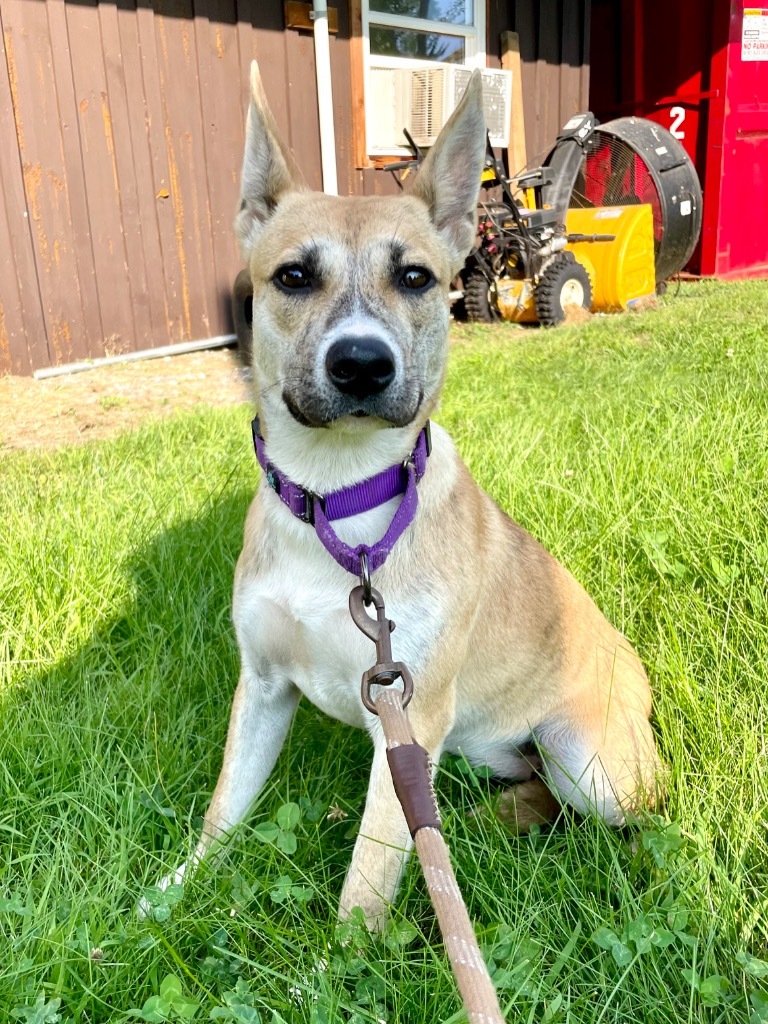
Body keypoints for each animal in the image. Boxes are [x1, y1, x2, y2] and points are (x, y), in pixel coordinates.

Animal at [151, 61, 663, 929]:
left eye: (416, 277)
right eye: (293, 276)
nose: (362, 363)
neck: (339, 505)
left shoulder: (409, 719)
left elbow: (369, 873)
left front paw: (338, 958)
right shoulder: (261, 688)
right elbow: (225, 808)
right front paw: (172, 893)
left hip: (592, 767)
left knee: (597, 810)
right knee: (521, 791)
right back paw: (489, 819)